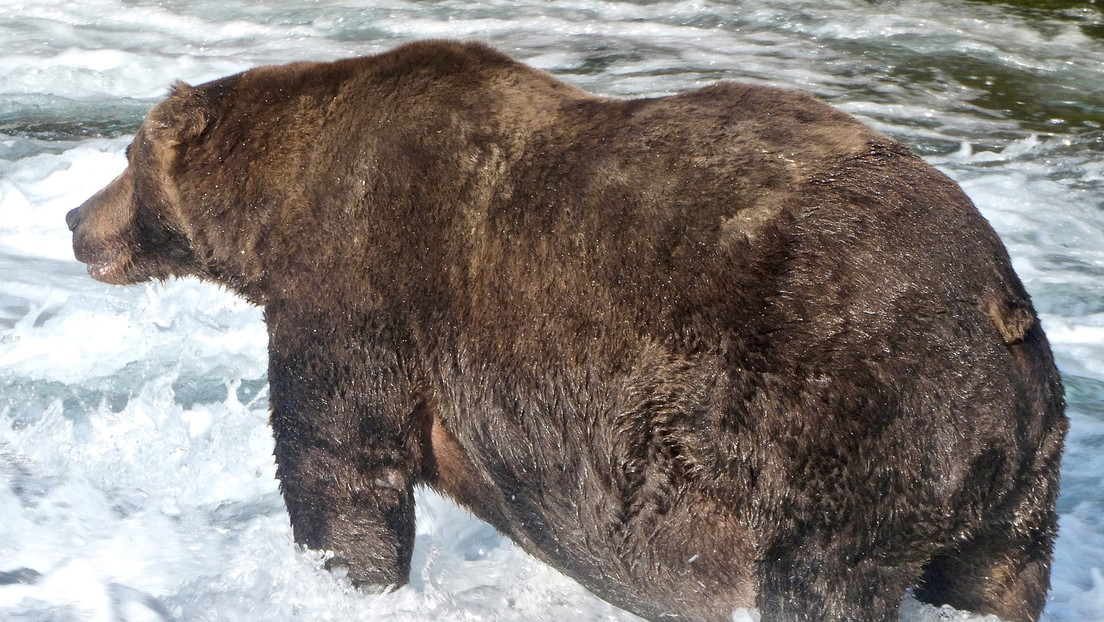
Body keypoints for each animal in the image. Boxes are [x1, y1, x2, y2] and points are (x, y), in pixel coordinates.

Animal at [64, 40, 1064, 622]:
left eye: (125, 156)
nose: (75, 219)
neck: (276, 210)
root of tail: (1000, 304)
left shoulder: (361, 279)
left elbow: (338, 460)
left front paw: (340, 577)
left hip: (846, 421)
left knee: (819, 582)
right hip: (1012, 480)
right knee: (994, 581)